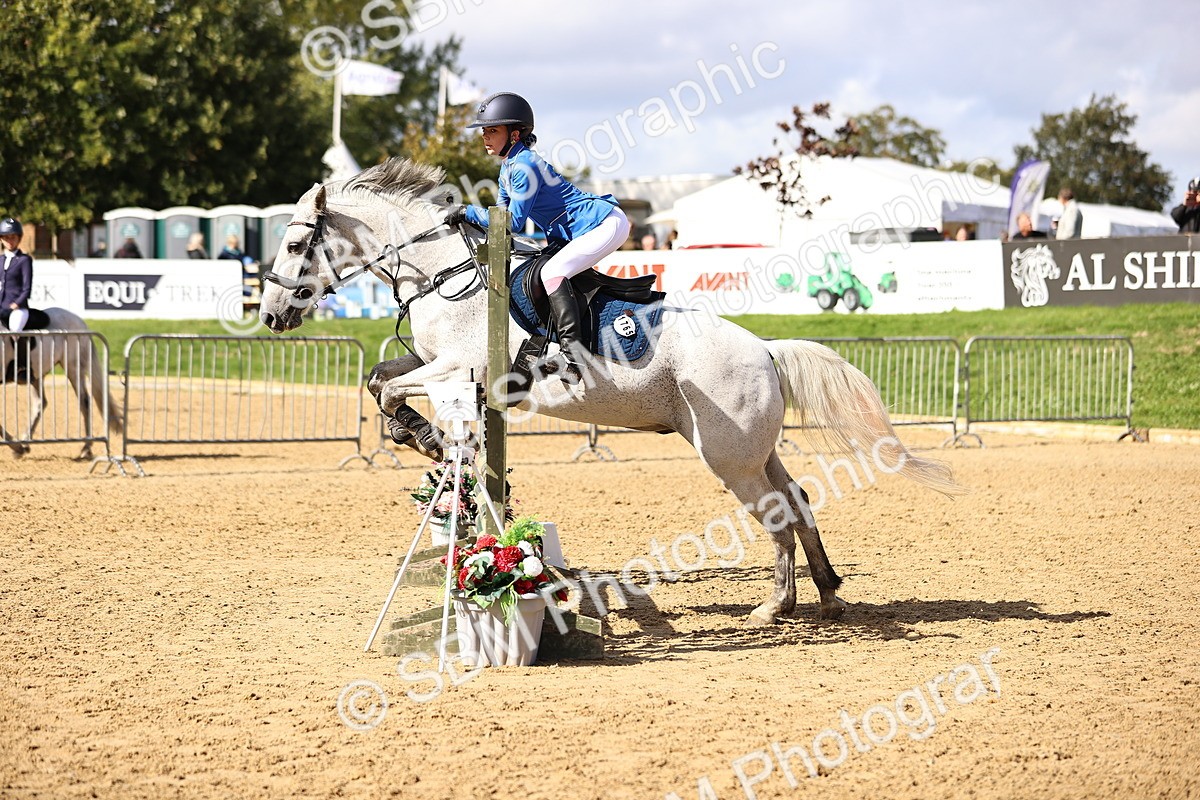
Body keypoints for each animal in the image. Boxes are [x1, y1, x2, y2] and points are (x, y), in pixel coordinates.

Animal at [1, 308, 123, 460]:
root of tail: (79, 321)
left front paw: (16, 446)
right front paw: (17, 447)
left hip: (73, 367)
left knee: (84, 401)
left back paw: (86, 447)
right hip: (37, 374)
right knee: (40, 403)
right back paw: (25, 442)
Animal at [258, 157, 963, 625]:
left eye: (295, 242)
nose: (269, 316)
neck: (442, 273)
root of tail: (765, 349)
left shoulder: (459, 366)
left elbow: (389, 391)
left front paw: (425, 436)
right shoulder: (436, 362)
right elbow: (379, 378)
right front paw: (421, 438)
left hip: (727, 455)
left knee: (774, 513)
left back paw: (774, 607)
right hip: (754, 449)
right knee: (796, 499)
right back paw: (825, 591)